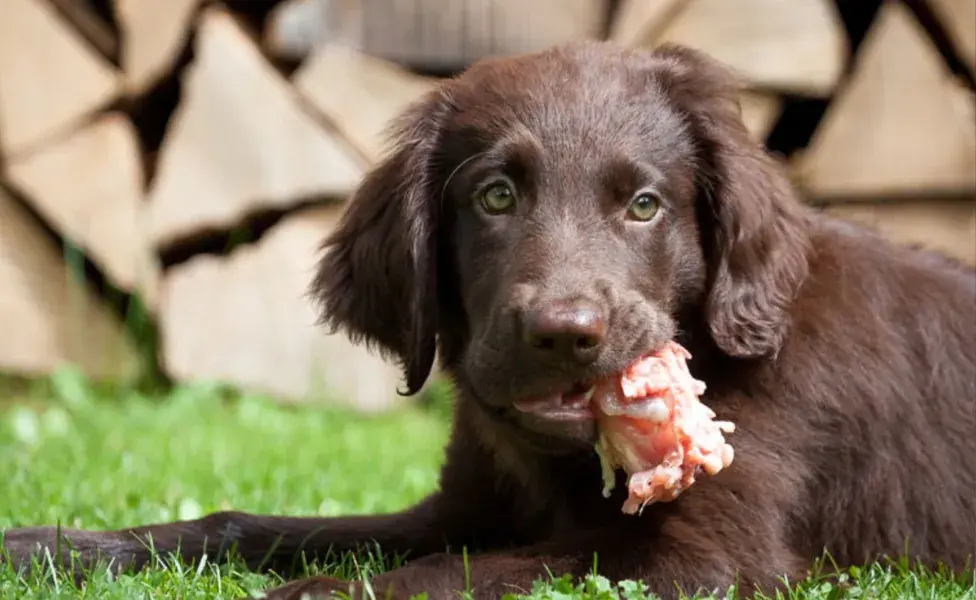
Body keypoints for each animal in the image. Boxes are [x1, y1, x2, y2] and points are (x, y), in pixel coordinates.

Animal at [1, 42, 976, 600]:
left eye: (645, 205)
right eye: (496, 196)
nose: (565, 332)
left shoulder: (712, 554)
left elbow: (455, 574)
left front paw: (311, 595)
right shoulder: (460, 505)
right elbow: (249, 525)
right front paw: (55, 546)